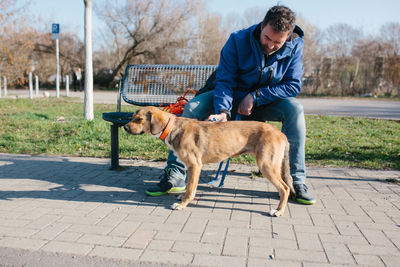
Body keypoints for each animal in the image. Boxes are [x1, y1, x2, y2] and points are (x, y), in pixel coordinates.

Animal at [125, 105, 296, 217]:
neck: (173, 127)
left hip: (267, 166)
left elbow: (190, 189)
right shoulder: (191, 167)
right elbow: (189, 187)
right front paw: (183, 197)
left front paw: (182, 204)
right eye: (132, 117)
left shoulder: (195, 165)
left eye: (139, 119)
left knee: (285, 188)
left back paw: (278, 211)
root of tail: (281, 134)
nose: (125, 128)